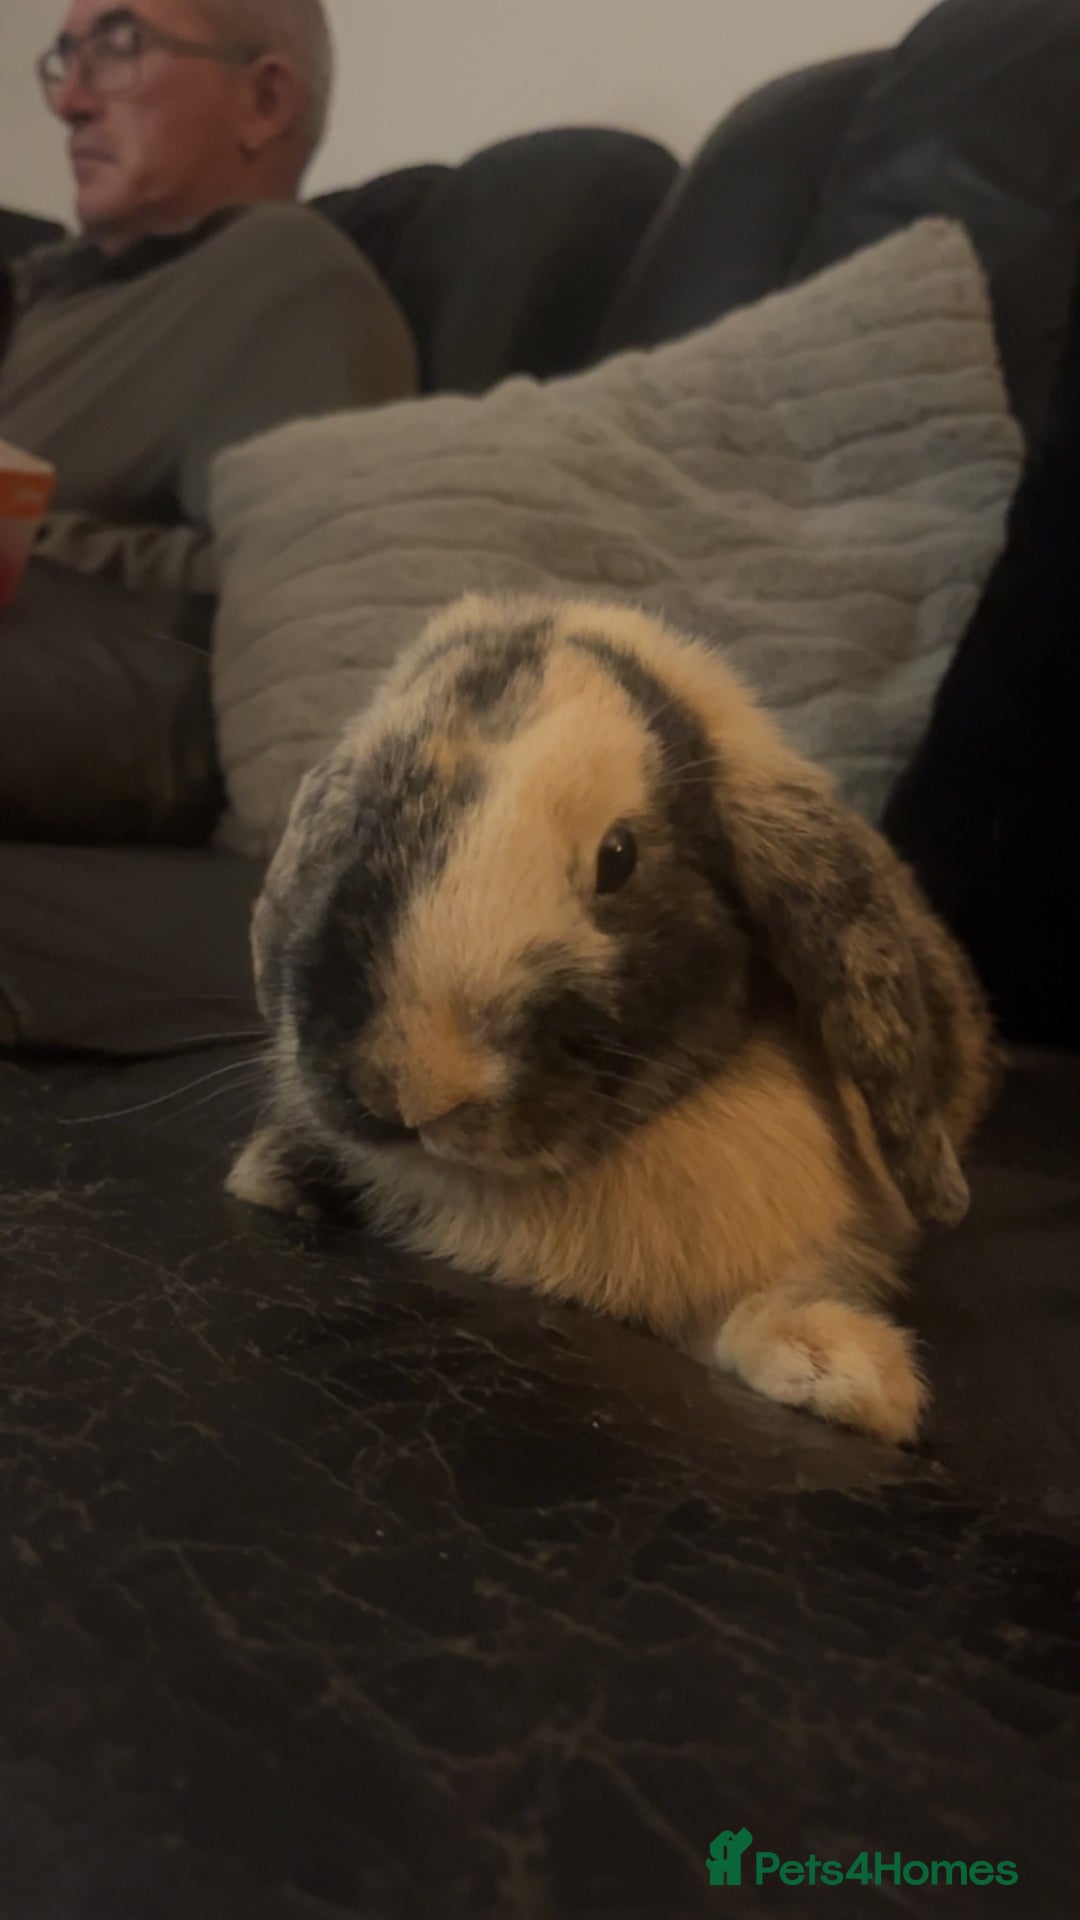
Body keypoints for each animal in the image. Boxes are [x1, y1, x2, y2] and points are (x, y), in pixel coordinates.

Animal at [228, 592, 999, 1446]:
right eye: (361, 821)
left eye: (620, 857)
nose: (414, 1088)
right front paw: (270, 1177)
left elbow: (756, 1318)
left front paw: (845, 1375)